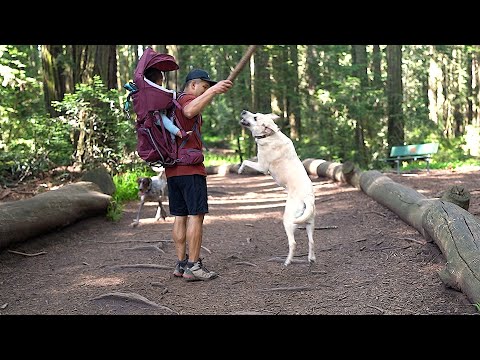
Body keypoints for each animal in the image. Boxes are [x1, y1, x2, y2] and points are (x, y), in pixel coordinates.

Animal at [238, 110, 316, 268]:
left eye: (255, 117)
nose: (243, 111)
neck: (269, 136)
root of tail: (307, 199)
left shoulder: (262, 167)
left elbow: (246, 161)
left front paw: (240, 169)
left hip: (288, 221)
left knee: (293, 243)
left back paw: (287, 262)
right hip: (310, 223)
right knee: (311, 241)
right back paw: (311, 259)